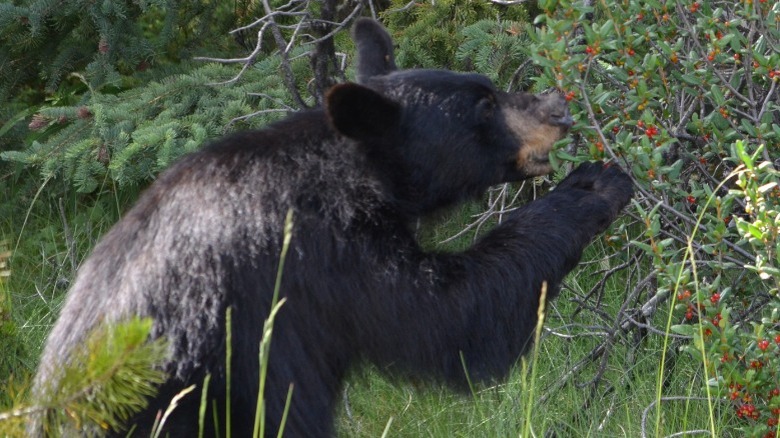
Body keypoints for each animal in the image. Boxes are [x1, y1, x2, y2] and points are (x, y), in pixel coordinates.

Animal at [32, 18, 632, 438]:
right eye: (484, 105)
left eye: (489, 88)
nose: (558, 106)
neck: (350, 171)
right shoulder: (325, 257)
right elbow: (449, 317)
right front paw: (593, 187)